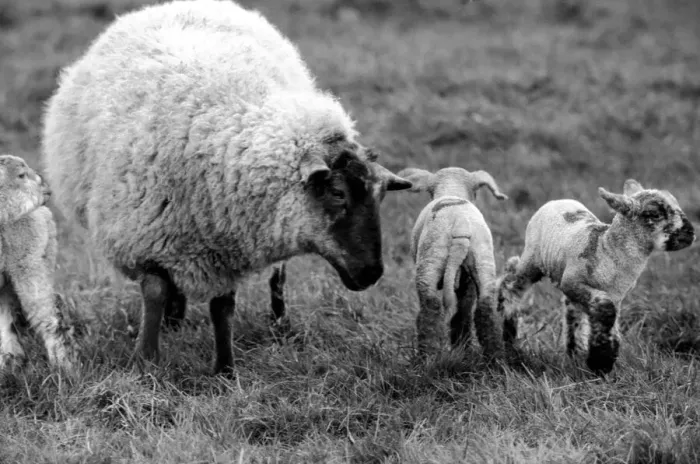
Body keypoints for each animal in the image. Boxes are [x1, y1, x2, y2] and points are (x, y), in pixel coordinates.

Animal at [0, 154, 76, 372]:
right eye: (21, 175)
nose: (46, 187)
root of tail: (44, 212)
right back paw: (11, 360)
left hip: (30, 262)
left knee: (49, 312)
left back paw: (64, 366)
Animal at [41, 0, 412, 375]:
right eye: (338, 193)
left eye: (381, 195)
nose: (372, 273)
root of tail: (180, 4)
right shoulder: (146, 236)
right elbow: (155, 292)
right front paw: (146, 359)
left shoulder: (226, 241)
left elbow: (223, 306)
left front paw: (224, 369)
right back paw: (174, 320)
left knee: (278, 278)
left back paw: (279, 322)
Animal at [396, 167, 508, 359]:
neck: (452, 190)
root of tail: (460, 224)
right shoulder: (467, 281)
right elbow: (464, 309)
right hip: (482, 260)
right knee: (482, 311)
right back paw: (492, 357)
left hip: (430, 260)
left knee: (431, 309)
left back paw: (427, 357)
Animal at [496, 179, 696, 374]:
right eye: (654, 214)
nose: (690, 233)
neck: (607, 249)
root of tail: (556, 201)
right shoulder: (572, 282)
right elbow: (606, 310)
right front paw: (601, 362)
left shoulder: (616, 295)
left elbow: (609, 319)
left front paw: (602, 358)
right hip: (533, 258)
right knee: (512, 281)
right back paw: (508, 334)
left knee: (571, 310)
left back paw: (574, 352)